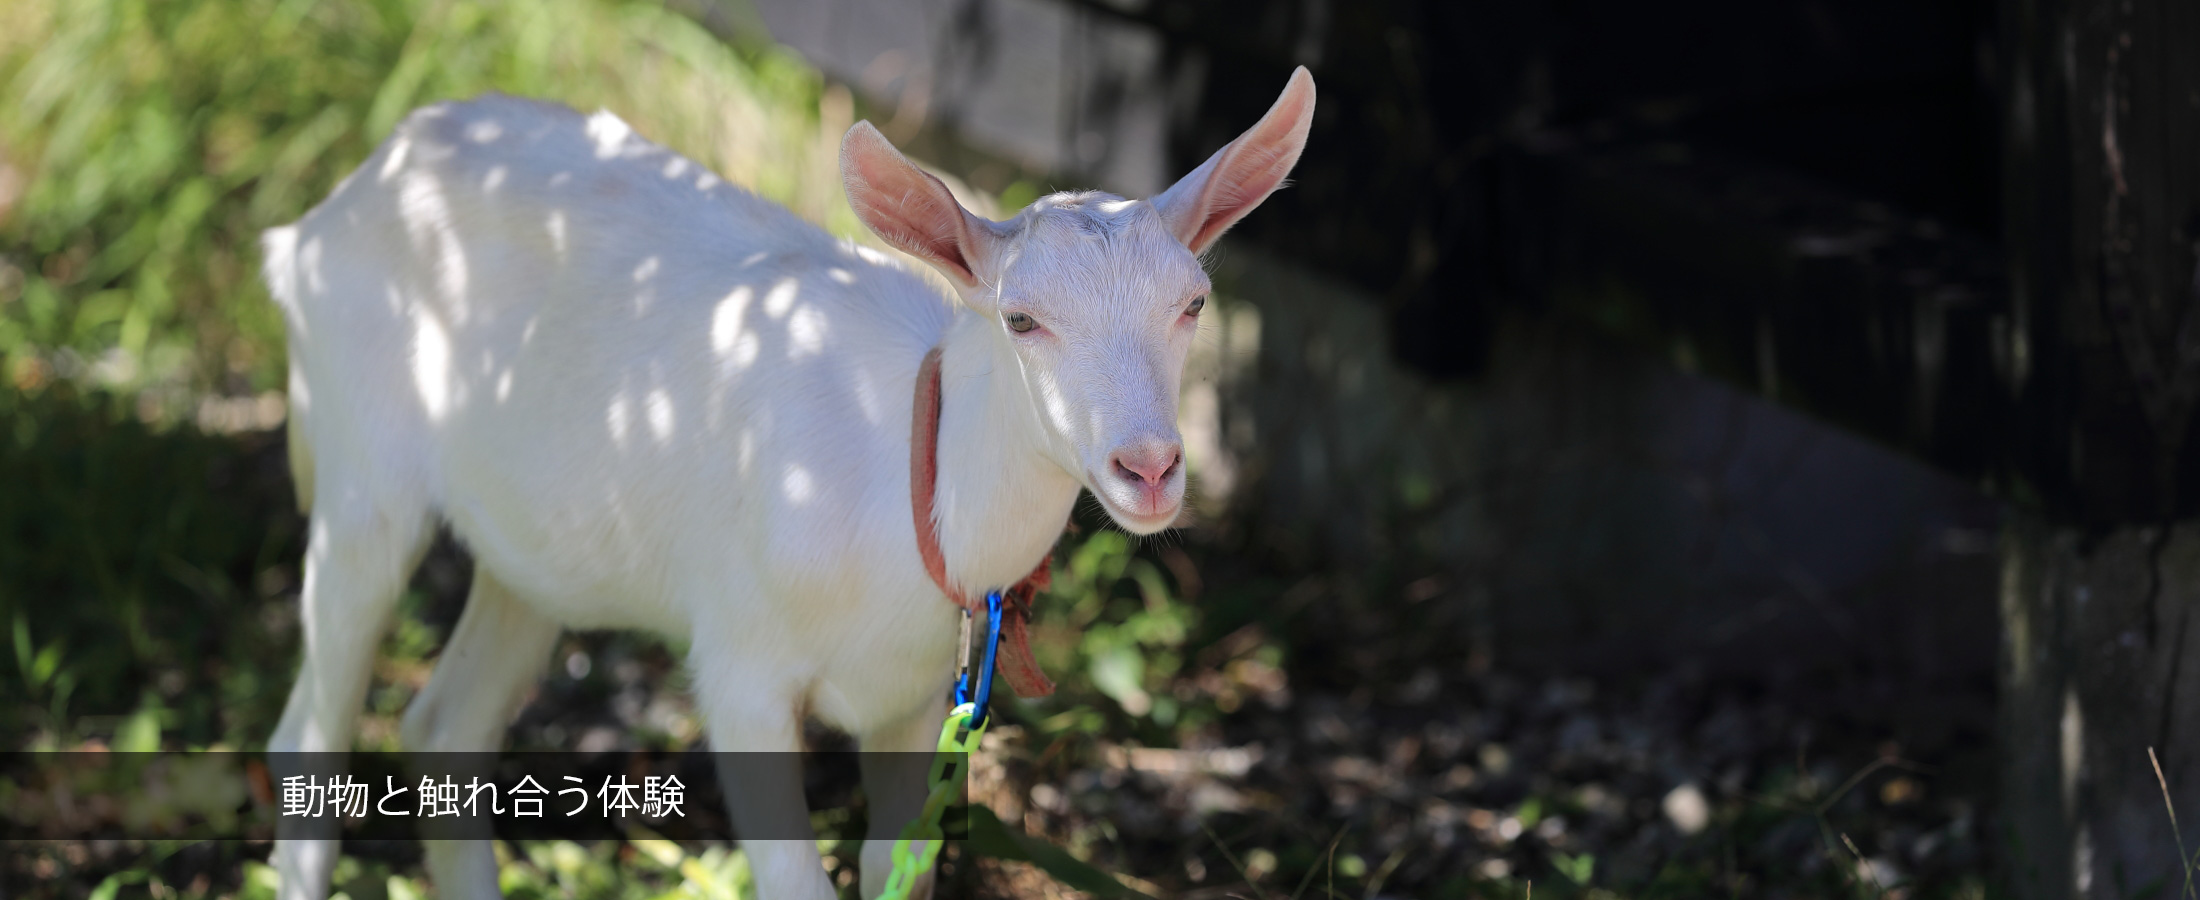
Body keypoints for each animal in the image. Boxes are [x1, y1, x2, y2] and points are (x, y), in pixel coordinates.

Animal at [266, 64, 1311, 897]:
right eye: (1022, 319)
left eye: (1194, 303)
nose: (1150, 466)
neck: (905, 483)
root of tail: (320, 221)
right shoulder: (742, 665)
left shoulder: (914, 701)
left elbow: (899, 864)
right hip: (360, 473)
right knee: (307, 735)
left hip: (531, 549)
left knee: (447, 722)